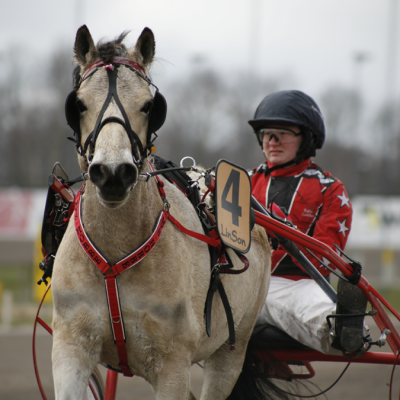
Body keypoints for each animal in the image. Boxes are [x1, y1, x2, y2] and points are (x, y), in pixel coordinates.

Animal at [49, 25, 268, 400]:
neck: (115, 252)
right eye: (78, 103)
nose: (113, 174)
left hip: (232, 347)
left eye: (149, 105)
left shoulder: (172, 365)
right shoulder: (70, 347)